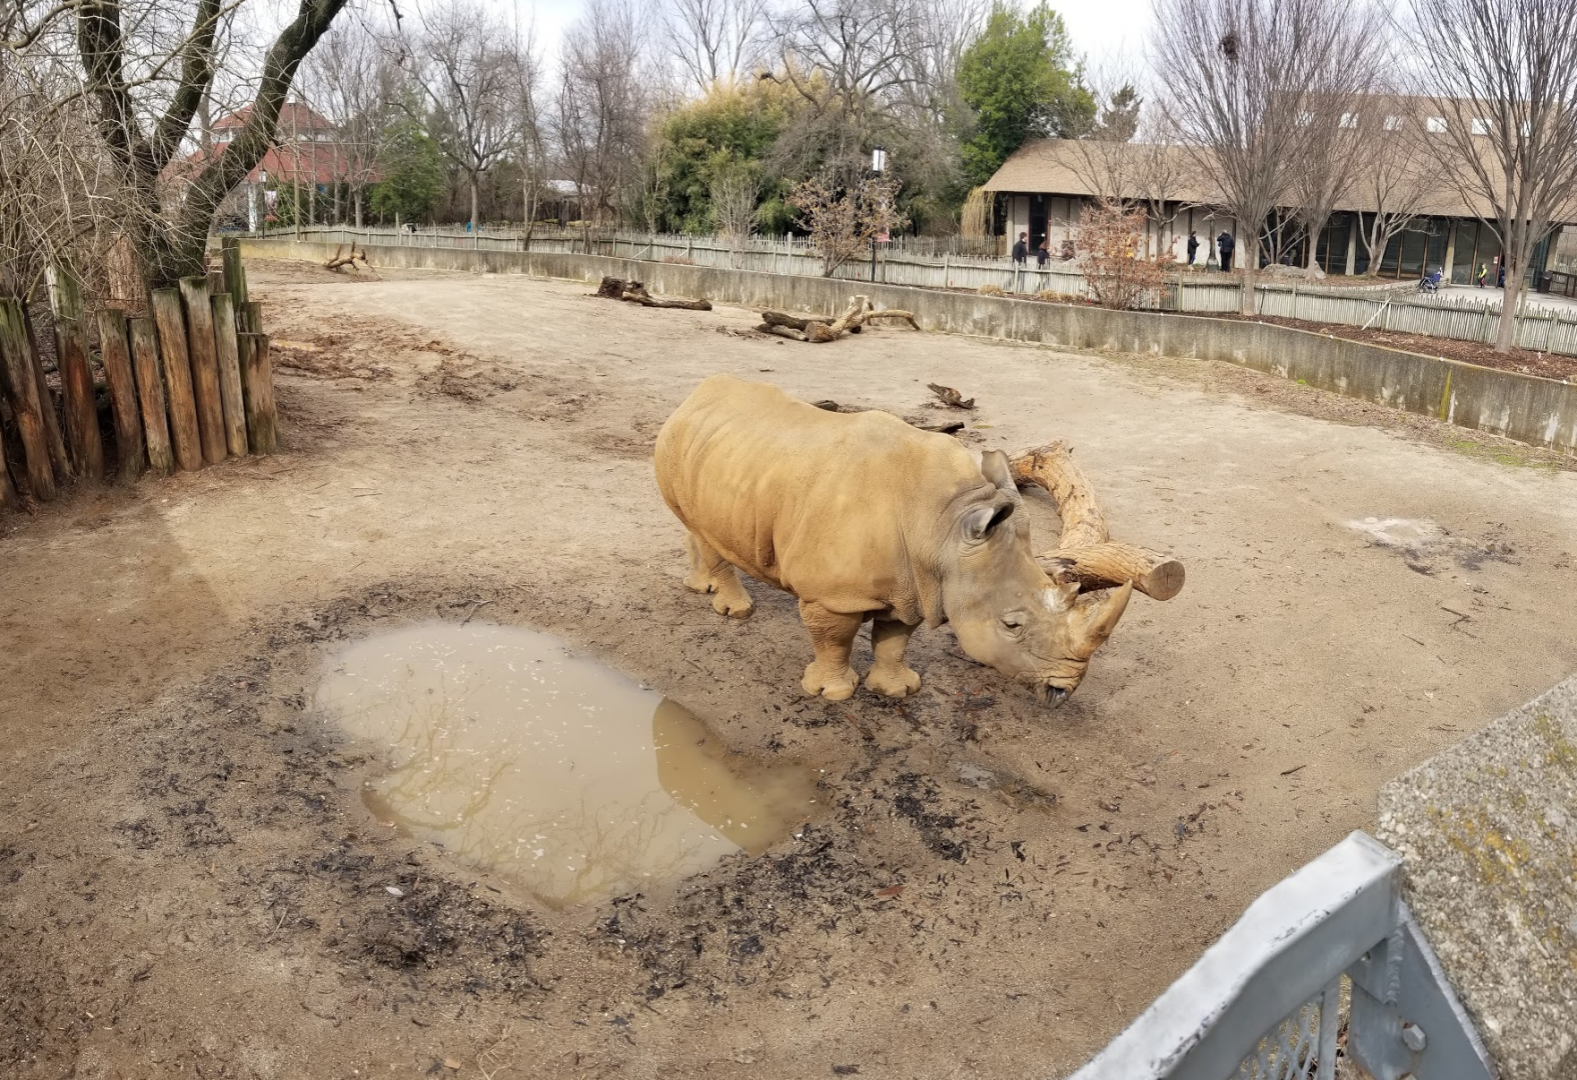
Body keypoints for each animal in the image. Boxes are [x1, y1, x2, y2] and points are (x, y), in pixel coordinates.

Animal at [653, 375, 1131, 705]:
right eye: (1011, 624)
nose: (1064, 690)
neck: (945, 524)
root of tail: (698, 392)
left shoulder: (916, 582)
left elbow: (895, 638)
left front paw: (898, 691)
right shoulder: (833, 595)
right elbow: (834, 639)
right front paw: (832, 694)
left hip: (718, 453)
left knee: (696, 522)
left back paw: (700, 587)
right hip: (680, 439)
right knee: (705, 532)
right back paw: (736, 610)